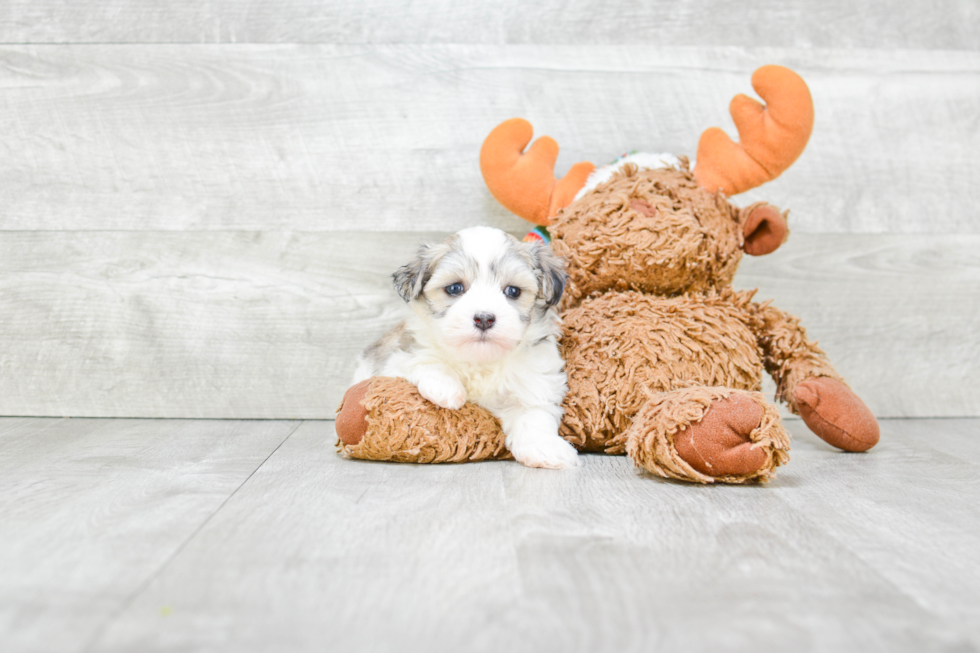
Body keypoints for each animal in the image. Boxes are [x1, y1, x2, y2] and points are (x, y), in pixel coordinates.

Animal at [352, 225, 580, 468]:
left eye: (513, 291)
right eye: (454, 288)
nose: (484, 318)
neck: (479, 360)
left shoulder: (534, 379)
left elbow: (534, 412)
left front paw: (544, 447)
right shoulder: (394, 358)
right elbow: (421, 359)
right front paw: (445, 387)